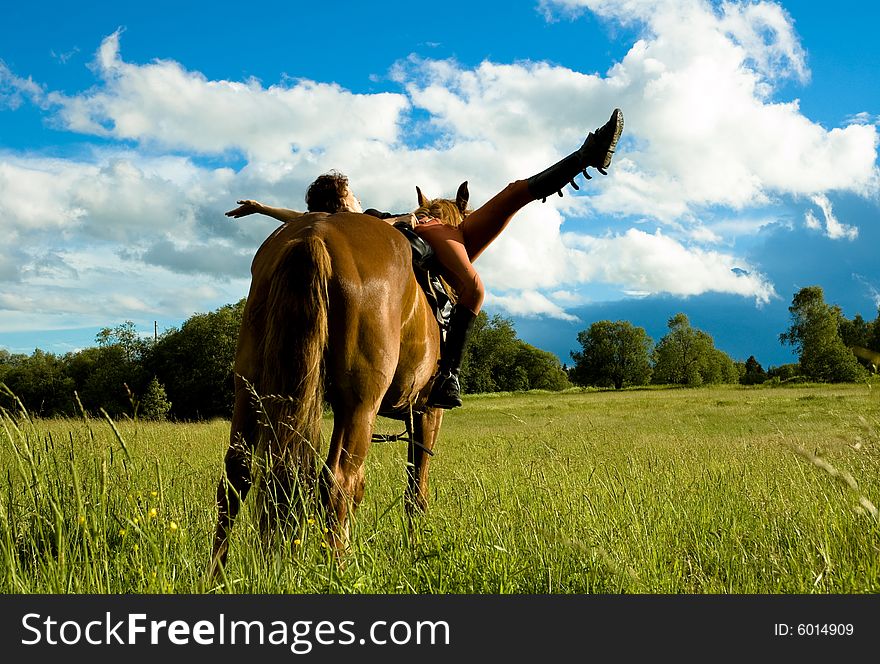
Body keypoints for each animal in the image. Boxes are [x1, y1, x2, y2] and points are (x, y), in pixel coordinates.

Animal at [211, 183, 470, 576]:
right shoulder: (427, 413)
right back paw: (338, 568)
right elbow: (416, 491)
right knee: (338, 481)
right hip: (359, 404)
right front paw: (415, 550)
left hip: (249, 390)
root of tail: (314, 235)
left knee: (236, 477)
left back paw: (216, 573)